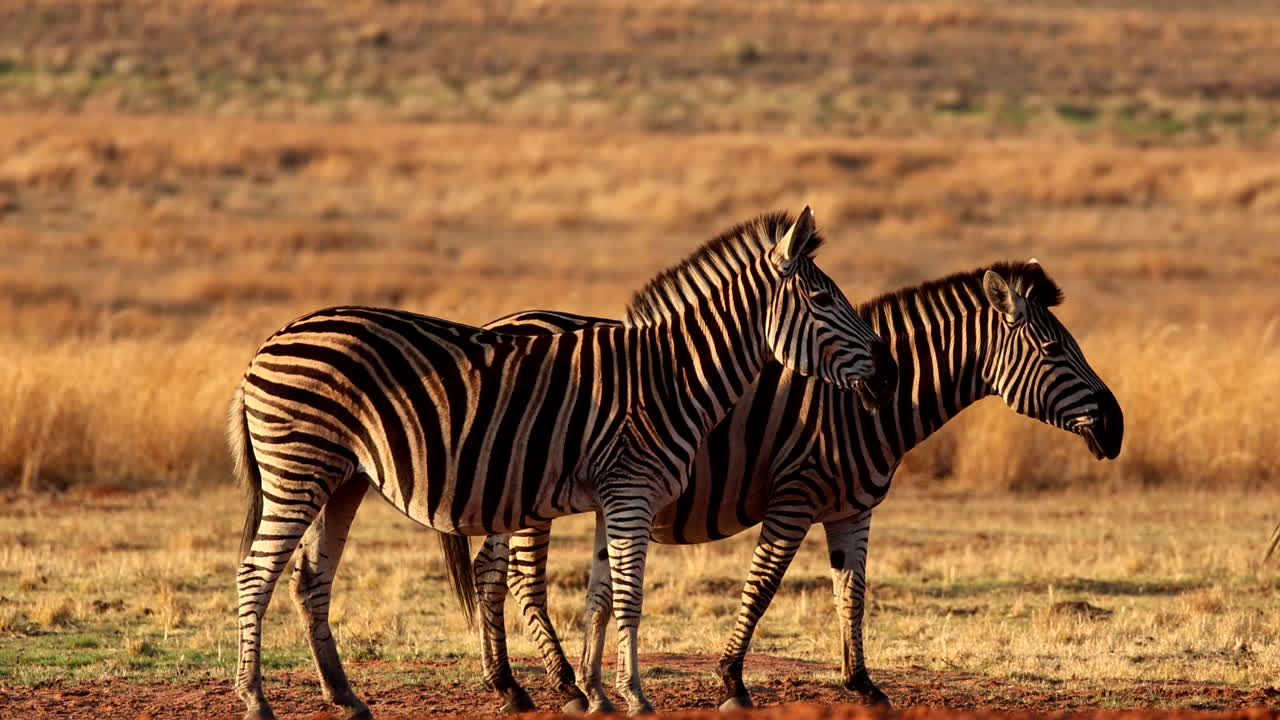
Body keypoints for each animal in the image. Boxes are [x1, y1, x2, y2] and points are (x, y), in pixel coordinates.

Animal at [228, 207, 897, 720]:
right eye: (821, 298)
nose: (890, 372)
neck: (672, 375)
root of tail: (268, 342)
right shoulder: (631, 490)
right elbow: (630, 596)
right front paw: (635, 697)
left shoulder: (617, 496)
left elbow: (601, 594)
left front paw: (598, 693)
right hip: (298, 468)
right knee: (255, 574)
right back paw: (255, 701)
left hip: (342, 480)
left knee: (309, 578)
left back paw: (344, 698)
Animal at [472, 261, 1124, 713]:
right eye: (1053, 348)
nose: (1117, 427)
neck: (860, 407)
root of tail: (496, 322)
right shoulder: (795, 497)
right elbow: (762, 586)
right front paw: (732, 681)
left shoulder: (853, 509)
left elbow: (851, 593)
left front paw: (863, 684)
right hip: (528, 492)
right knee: (521, 581)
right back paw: (561, 686)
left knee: (488, 572)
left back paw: (508, 687)